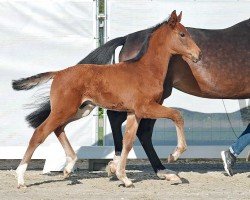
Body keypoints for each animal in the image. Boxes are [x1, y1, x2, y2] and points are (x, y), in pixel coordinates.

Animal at [12, 10, 202, 188]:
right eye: (182, 34)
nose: (198, 54)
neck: (146, 70)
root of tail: (58, 73)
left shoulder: (134, 112)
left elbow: (128, 142)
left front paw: (124, 178)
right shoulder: (146, 107)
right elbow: (176, 115)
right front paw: (174, 155)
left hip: (81, 110)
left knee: (58, 128)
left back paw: (68, 167)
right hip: (64, 109)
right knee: (40, 133)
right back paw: (21, 178)